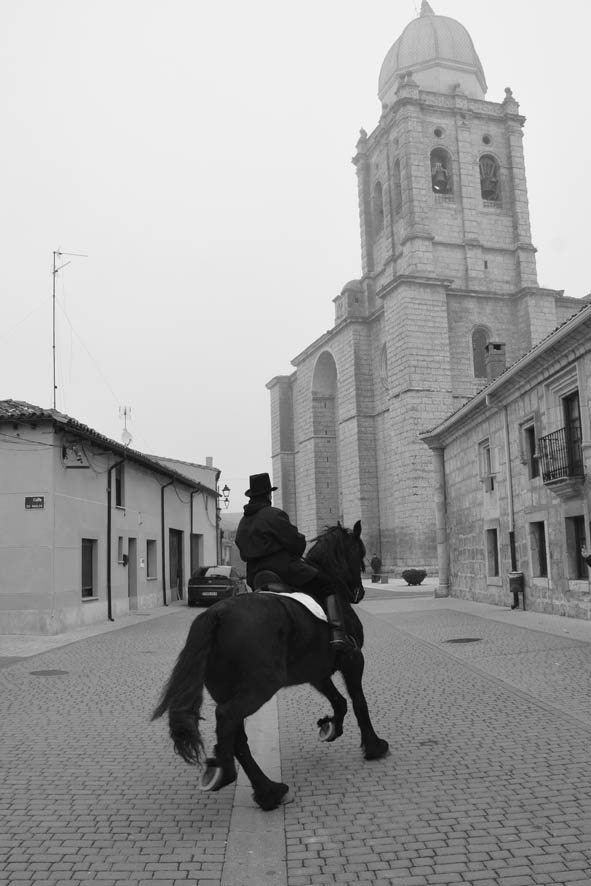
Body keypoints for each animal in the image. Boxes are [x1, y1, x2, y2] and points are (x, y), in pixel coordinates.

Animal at [154, 520, 388, 812]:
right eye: (360, 550)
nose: (360, 591)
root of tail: (216, 614)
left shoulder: (316, 671)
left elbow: (340, 702)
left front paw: (329, 726)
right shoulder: (353, 660)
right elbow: (359, 702)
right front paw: (373, 746)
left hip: (226, 688)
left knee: (237, 735)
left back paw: (268, 791)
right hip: (261, 686)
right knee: (227, 717)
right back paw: (230, 773)